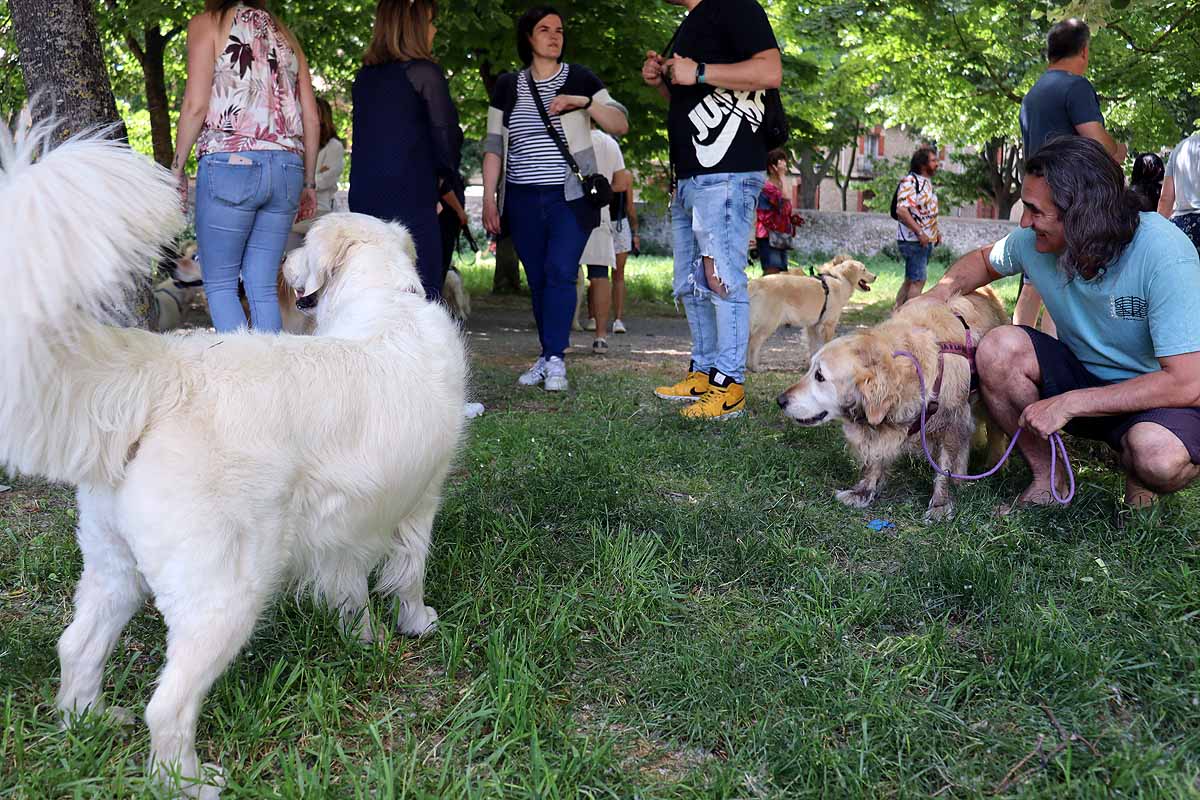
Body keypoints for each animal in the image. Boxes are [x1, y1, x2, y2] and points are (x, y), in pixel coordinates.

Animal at [0, 123, 465, 796]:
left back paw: (89, 720)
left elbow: (349, 587)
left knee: (76, 647)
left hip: (115, 566)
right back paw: (189, 780)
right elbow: (409, 570)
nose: (285, 265)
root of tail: (167, 371)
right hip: (225, 592)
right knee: (167, 706)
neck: (386, 302)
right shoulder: (417, 499)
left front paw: (363, 636)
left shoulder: (348, 525)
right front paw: (416, 622)